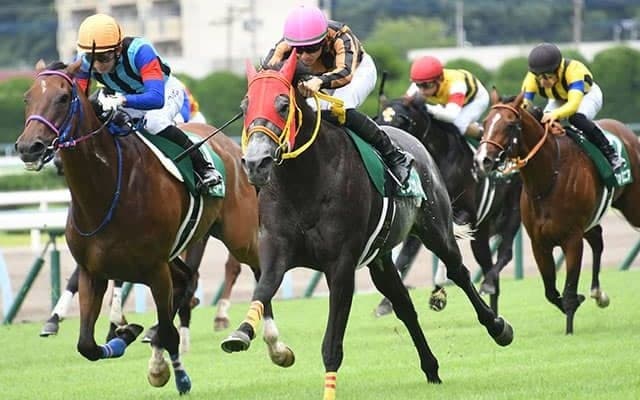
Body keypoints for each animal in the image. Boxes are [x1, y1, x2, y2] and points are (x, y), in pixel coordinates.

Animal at [15, 60, 263, 394]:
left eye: (64, 98)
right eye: (27, 97)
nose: (29, 147)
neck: (105, 190)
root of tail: (229, 144)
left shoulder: (154, 269)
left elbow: (167, 330)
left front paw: (176, 375)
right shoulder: (94, 270)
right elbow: (86, 344)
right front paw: (124, 333)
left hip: (238, 236)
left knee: (254, 270)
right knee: (186, 280)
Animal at [374, 95, 522, 315]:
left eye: (402, 121)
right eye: (379, 119)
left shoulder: (463, 214)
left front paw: (438, 291)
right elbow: (405, 257)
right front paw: (385, 303)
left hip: (513, 212)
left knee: (505, 252)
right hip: (481, 234)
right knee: (488, 266)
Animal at [474, 89, 640, 334]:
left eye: (511, 124)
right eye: (485, 123)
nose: (482, 160)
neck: (548, 178)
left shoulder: (572, 239)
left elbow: (569, 291)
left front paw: (569, 329)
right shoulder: (539, 244)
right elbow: (551, 292)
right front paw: (578, 300)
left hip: (631, 207)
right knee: (598, 241)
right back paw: (597, 293)